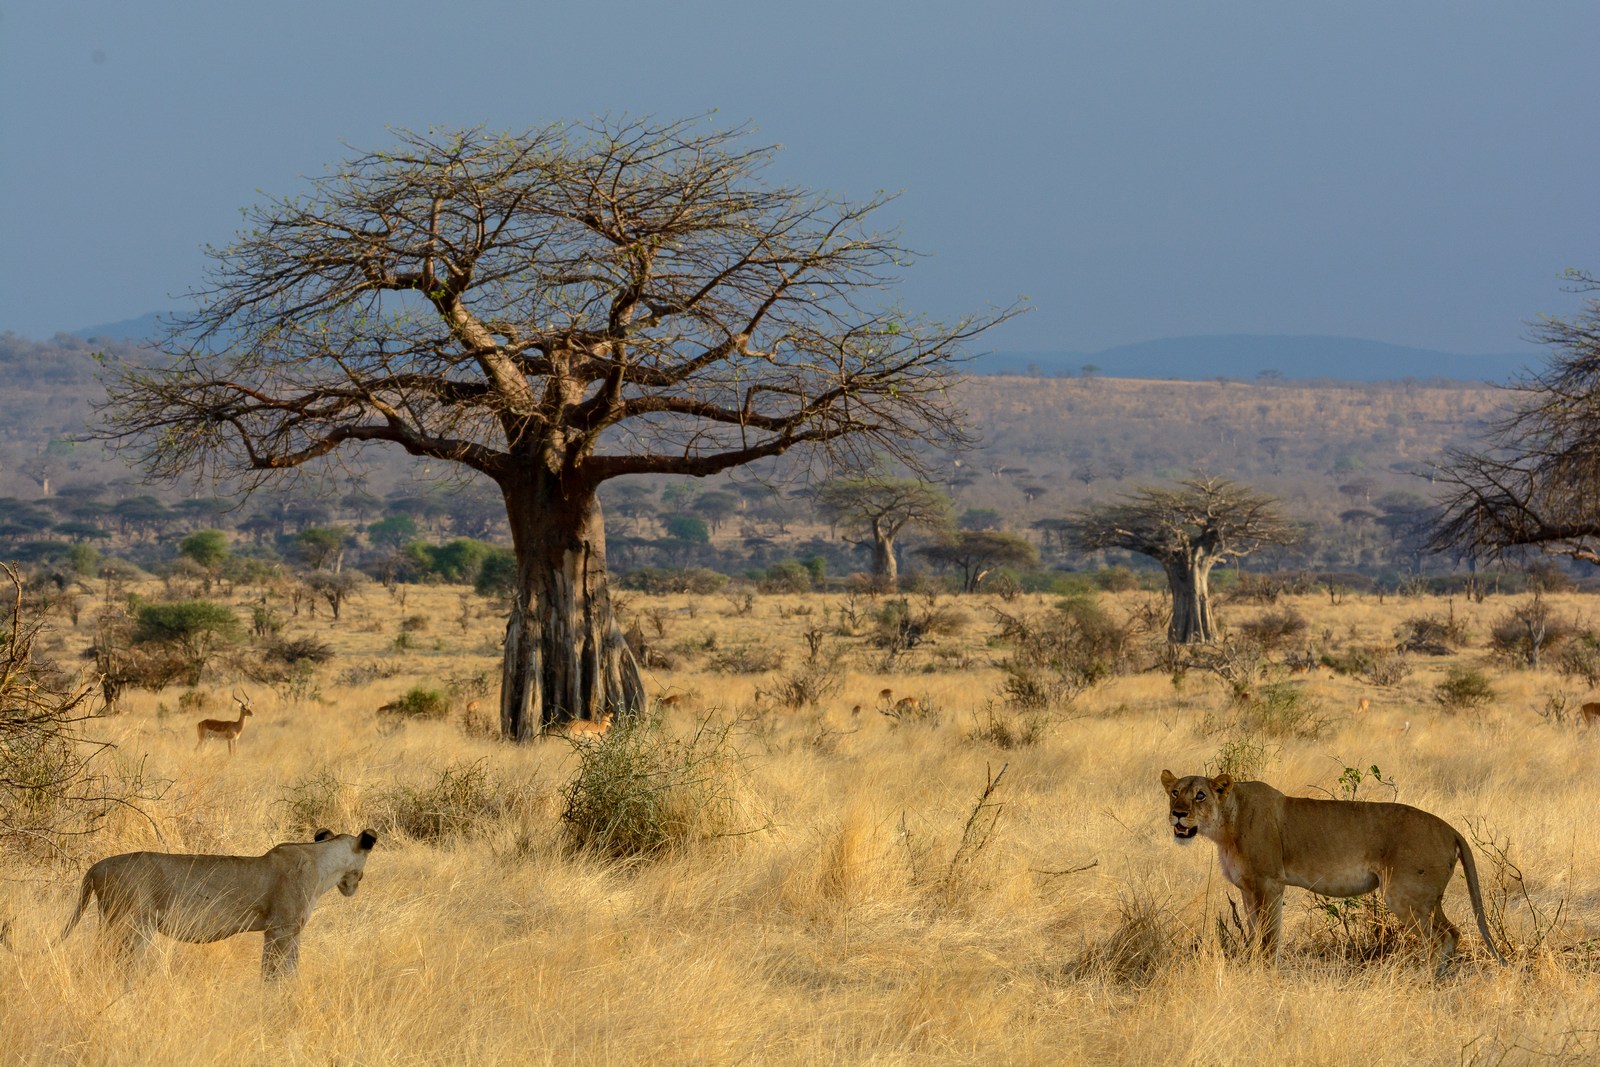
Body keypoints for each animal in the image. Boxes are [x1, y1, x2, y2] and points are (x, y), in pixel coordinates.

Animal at [52, 827, 378, 980]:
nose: (356, 884)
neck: (322, 862)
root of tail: (97, 866)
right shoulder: (280, 930)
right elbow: (274, 972)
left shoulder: (289, 932)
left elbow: (290, 969)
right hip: (132, 925)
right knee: (114, 962)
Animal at [1160, 770, 1506, 973]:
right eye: (1175, 792)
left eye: (1200, 795)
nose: (1177, 814)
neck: (1225, 826)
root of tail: (1451, 829)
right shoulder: (1248, 889)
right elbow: (1258, 931)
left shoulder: (1269, 883)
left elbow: (1269, 936)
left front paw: (1264, 972)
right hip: (1428, 899)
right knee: (1452, 933)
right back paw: (1438, 978)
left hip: (1404, 895)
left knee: (1437, 938)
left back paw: (1420, 980)